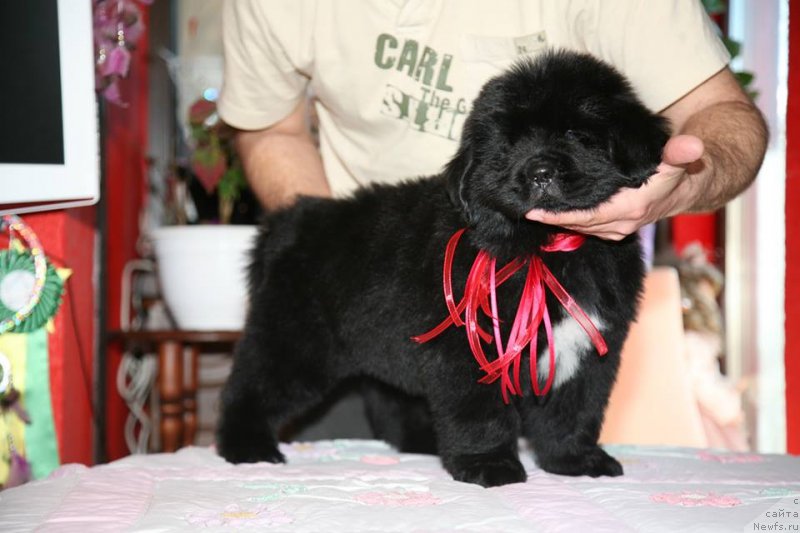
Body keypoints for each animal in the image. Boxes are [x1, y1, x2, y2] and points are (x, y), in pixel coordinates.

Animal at [216, 50, 672, 486]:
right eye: (508, 145)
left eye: (577, 134)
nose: (540, 172)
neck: (546, 246)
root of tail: (289, 221)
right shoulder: (468, 348)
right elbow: (480, 413)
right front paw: (488, 464)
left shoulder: (592, 348)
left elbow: (574, 411)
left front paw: (575, 460)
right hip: (295, 340)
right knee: (250, 389)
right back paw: (246, 447)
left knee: (390, 398)